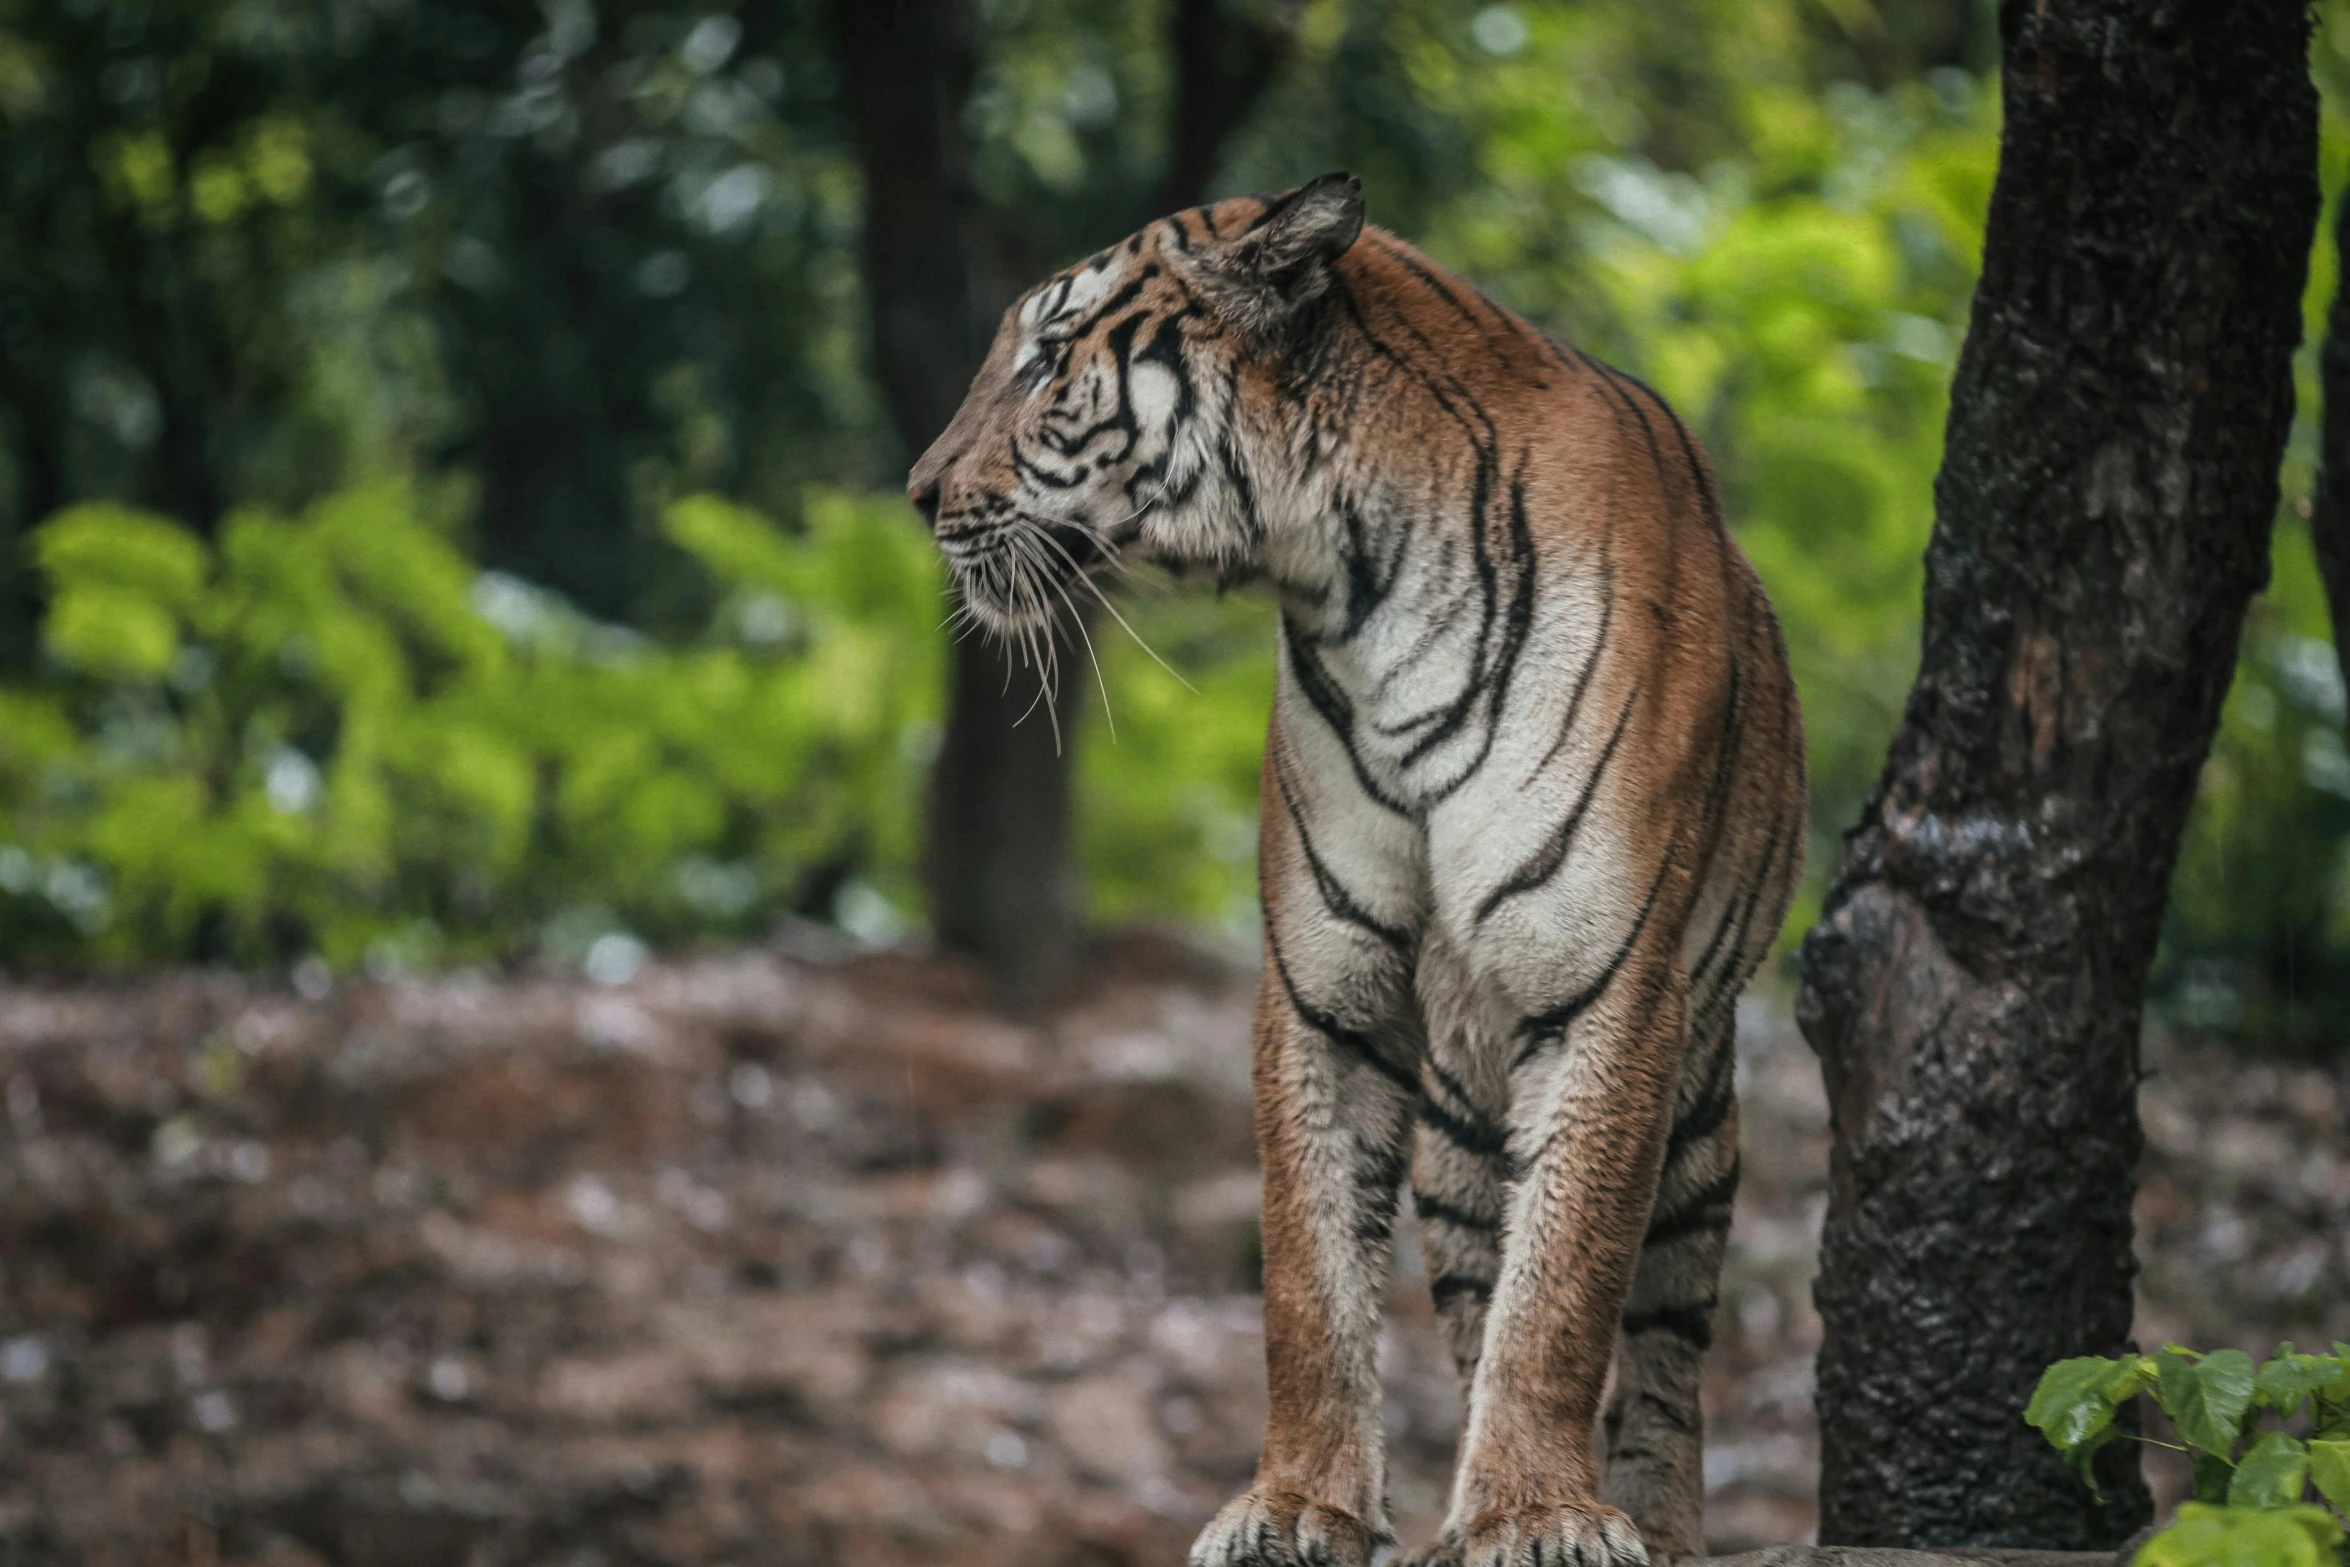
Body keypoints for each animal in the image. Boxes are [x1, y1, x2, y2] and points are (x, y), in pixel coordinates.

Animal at [897, 175, 1795, 1567]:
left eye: (1046, 358)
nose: (917, 491)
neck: (1362, 590)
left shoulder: (1610, 986)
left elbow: (1568, 1284)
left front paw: (1540, 1513)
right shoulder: (1324, 984)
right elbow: (1308, 1276)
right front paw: (1297, 1505)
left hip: (1698, 1111)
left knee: (1662, 1339)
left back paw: (1654, 1521)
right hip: (1461, 1128)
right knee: (1479, 1279)